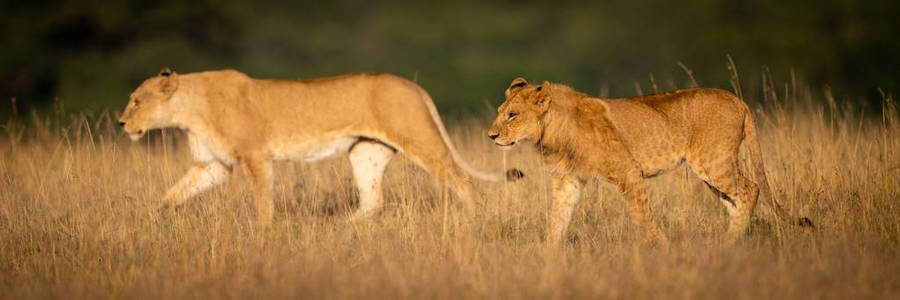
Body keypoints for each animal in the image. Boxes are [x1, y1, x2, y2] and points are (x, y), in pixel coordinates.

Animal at [119, 68, 520, 225]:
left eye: (136, 101)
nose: (122, 123)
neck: (189, 110)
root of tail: (411, 84)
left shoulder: (255, 156)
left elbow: (263, 200)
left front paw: (263, 233)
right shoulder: (214, 165)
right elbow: (173, 193)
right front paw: (153, 220)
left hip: (418, 138)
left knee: (461, 180)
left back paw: (471, 222)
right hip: (365, 152)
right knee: (372, 201)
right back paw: (341, 228)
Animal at [488, 77, 812, 244]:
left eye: (512, 115)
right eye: (501, 112)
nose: (491, 135)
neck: (553, 127)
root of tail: (738, 99)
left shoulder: (628, 171)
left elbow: (642, 217)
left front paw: (661, 249)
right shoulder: (569, 179)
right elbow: (557, 219)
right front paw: (548, 256)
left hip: (712, 161)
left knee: (750, 189)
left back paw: (727, 243)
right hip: (712, 169)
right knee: (736, 200)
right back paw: (730, 243)